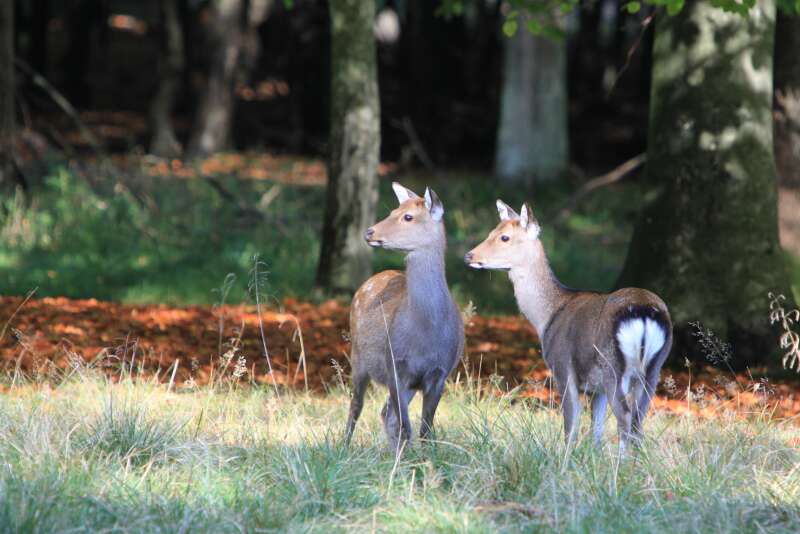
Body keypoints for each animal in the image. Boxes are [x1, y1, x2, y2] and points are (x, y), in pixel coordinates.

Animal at [344, 183, 464, 453]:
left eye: (408, 216)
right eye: (393, 210)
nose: (369, 232)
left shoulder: (440, 373)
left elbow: (425, 430)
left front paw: (425, 458)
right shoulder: (395, 367)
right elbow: (406, 428)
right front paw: (406, 460)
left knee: (385, 412)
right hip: (358, 356)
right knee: (356, 405)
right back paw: (342, 448)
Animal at [464, 200, 672, 453]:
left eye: (505, 237)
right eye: (492, 231)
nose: (469, 255)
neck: (547, 317)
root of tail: (644, 311)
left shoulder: (562, 367)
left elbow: (570, 424)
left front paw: (565, 457)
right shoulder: (597, 388)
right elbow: (596, 430)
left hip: (613, 366)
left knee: (625, 416)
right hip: (654, 369)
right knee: (638, 421)